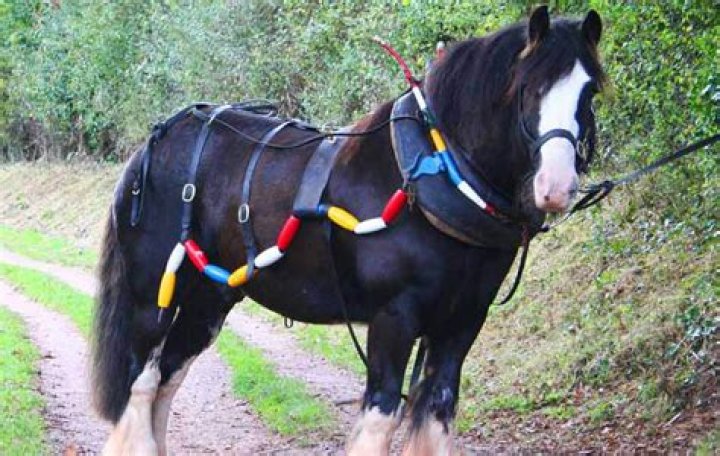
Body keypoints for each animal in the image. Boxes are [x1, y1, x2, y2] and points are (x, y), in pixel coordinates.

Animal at [92, 6, 605, 455]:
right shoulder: (394, 318)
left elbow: (437, 414)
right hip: (152, 295)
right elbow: (381, 416)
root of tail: (156, 141)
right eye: (529, 87)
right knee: (141, 382)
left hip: (208, 299)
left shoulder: (461, 323)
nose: (556, 187)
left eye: (589, 93)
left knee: (167, 377)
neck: (431, 178)